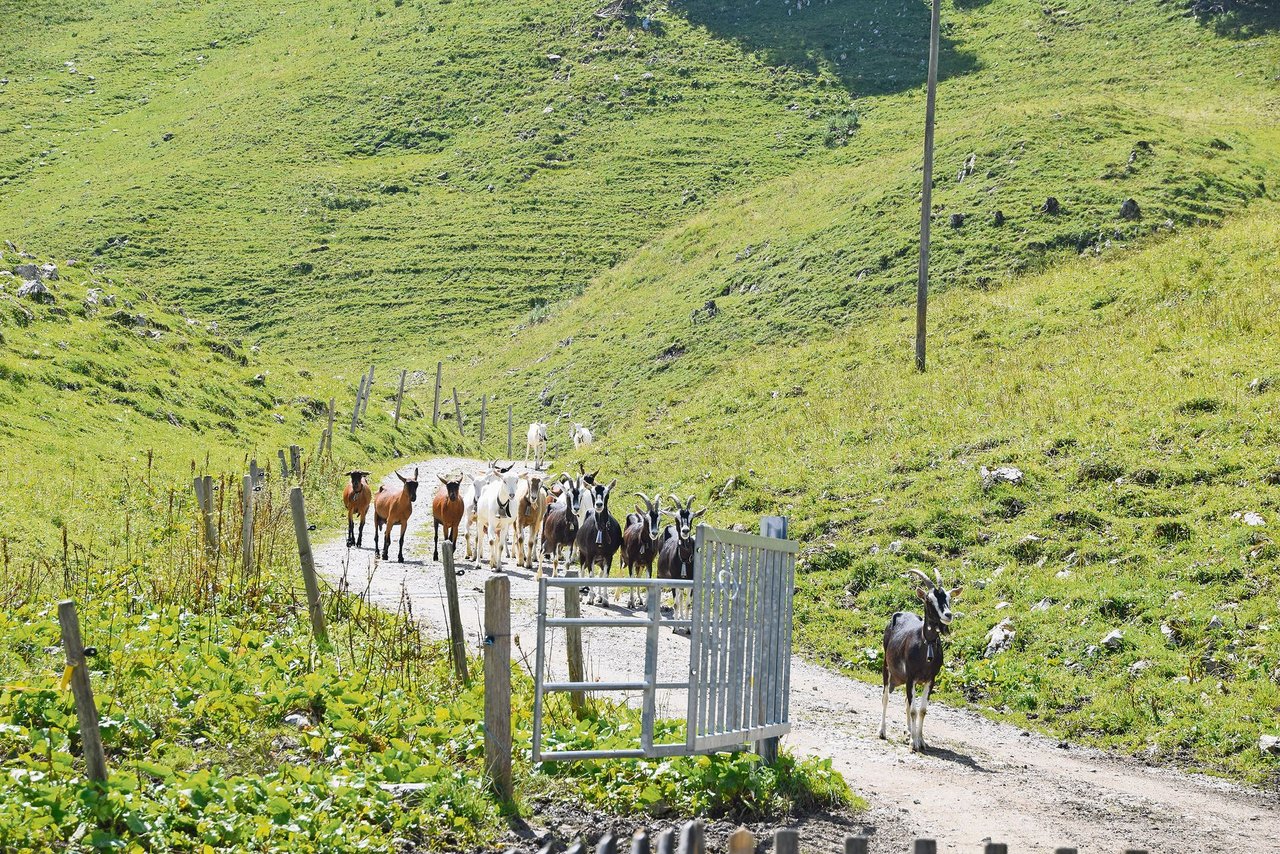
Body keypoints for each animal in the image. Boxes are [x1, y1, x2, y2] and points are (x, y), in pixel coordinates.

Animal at [578, 473, 622, 606]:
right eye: (592, 493)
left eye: (607, 493)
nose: (599, 504)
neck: (600, 529)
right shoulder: (590, 554)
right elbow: (591, 574)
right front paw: (590, 598)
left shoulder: (608, 555)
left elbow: (605, 576)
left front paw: (605, 599)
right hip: (582, 554)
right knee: (582, 570)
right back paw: (581, 595)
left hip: (601, 559)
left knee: (601, 573)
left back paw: (599, 596)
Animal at [655, 494, 706, 627]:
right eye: (677, 517)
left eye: (692, 517)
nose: (685, 531)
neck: (684, 558)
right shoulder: (673, 579)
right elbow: (676, 604)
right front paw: (675, 627)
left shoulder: (691, 580)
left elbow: (687, 604)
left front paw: (686, 625)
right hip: (661, 575)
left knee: (681, 596)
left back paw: (682, 618)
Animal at [880, 571, 962, 752]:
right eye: (929, 599)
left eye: (949, 598)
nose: (948, 615)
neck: (926, 643)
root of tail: (900, 614)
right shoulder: (911, 677)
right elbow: (913, 710)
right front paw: (914, 743)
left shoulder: (930, 680)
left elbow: (922, 710)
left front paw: (921, 740)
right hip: (887, 667)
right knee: (886, 698)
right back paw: (882, 731)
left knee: (906, 702)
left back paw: (909, 732)